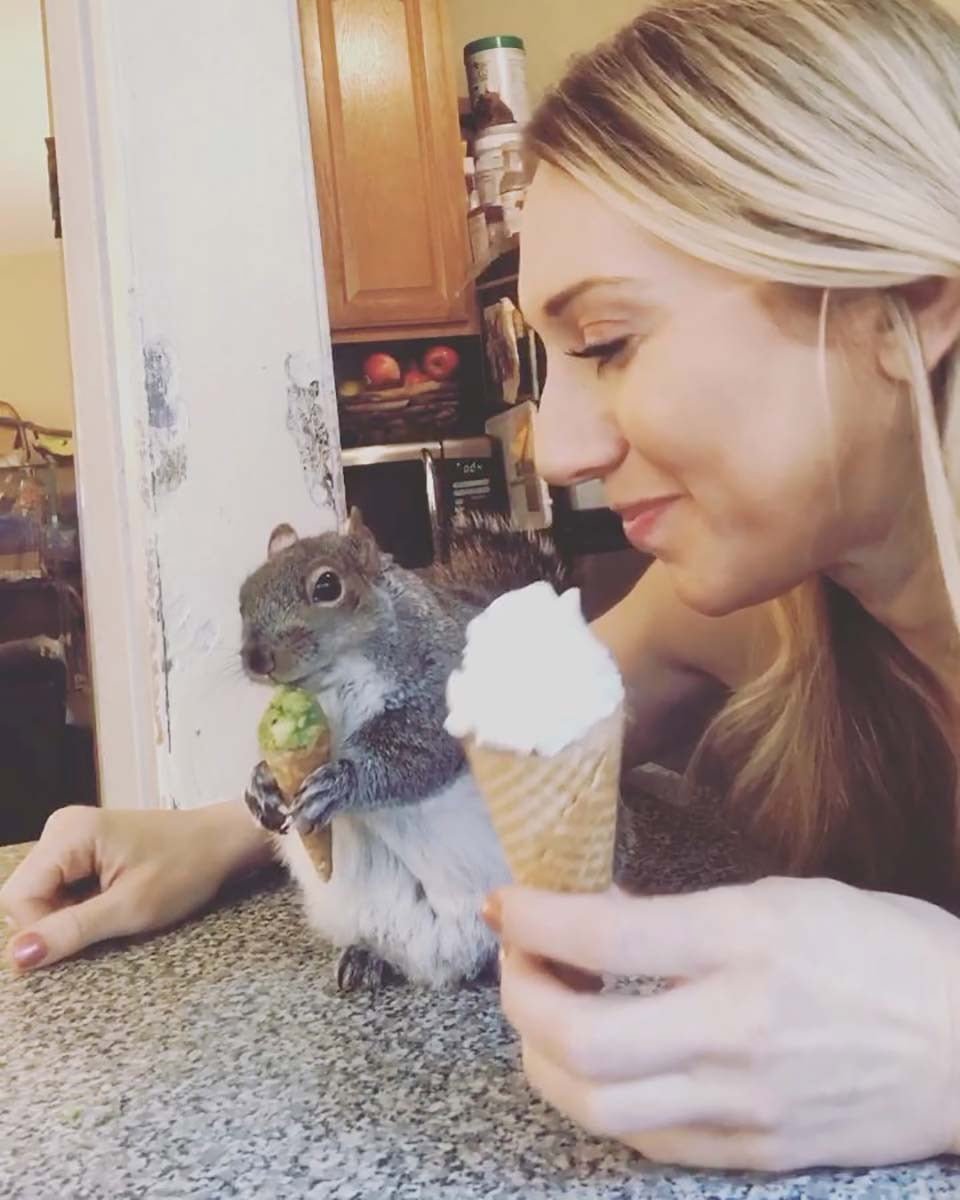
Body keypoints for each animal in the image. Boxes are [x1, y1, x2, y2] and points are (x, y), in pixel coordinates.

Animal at [242, 506, 571, 993]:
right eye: (244, 594)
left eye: (327, 586)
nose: (255, 658)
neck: (335, 684)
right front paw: (262, 784)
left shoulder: (442, 698)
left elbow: (414, 754)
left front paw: (339, 782)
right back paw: (365, 957)